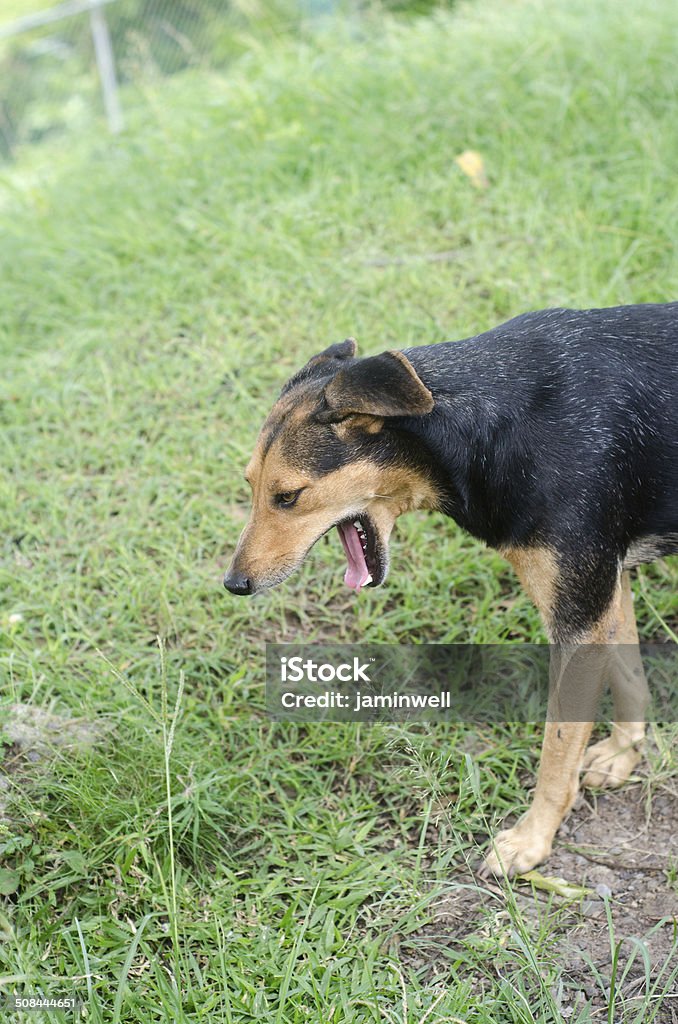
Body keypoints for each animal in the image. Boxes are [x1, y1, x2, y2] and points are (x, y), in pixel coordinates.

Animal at [224, 301, 678, 872]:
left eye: (287, 497)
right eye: (250, 487)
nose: (233, 583)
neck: (493, 426)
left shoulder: (578, 613)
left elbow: (556, 747)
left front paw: (532, 839)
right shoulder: (601, 590)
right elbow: (629, 675)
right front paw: (624, 753)